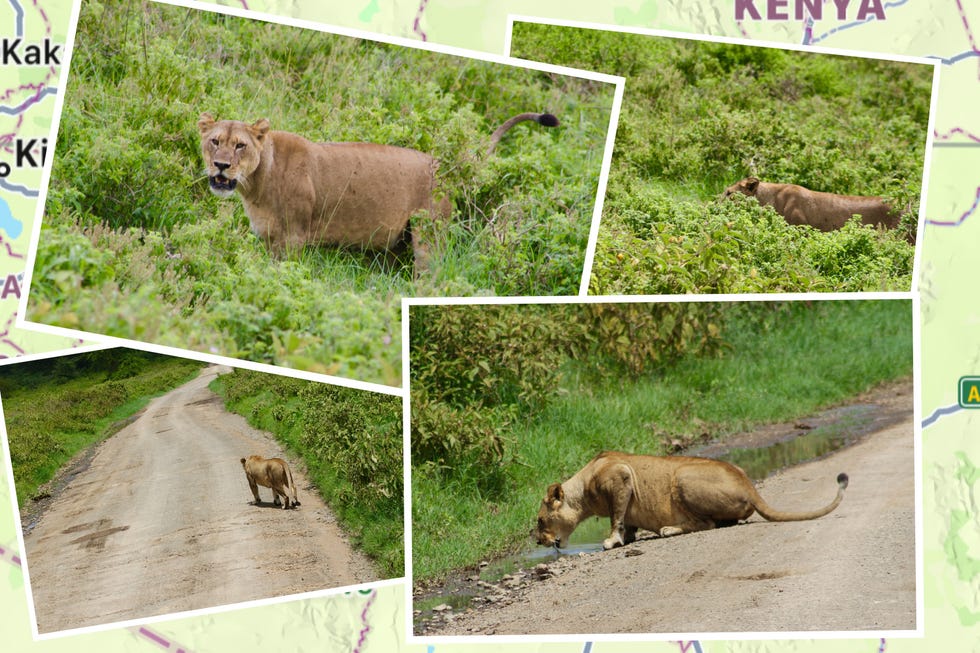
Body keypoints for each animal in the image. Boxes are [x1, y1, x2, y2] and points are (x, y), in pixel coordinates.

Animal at [198, 111, 559, 265]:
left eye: (240, 145)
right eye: (214, 141)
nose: (221, 166)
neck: (256, 184)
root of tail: (443, 164)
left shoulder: (294, 238)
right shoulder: (269, 238)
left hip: (429, 235)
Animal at [535, 451, 848, 550]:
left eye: (539, 521)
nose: (538, 541)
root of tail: (749, 484)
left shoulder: (621, 478)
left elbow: (616, 517)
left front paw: (613, 541)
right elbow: (627, 521)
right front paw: (629, 537)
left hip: (683, 476)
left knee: (706, 524)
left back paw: (668, 529)